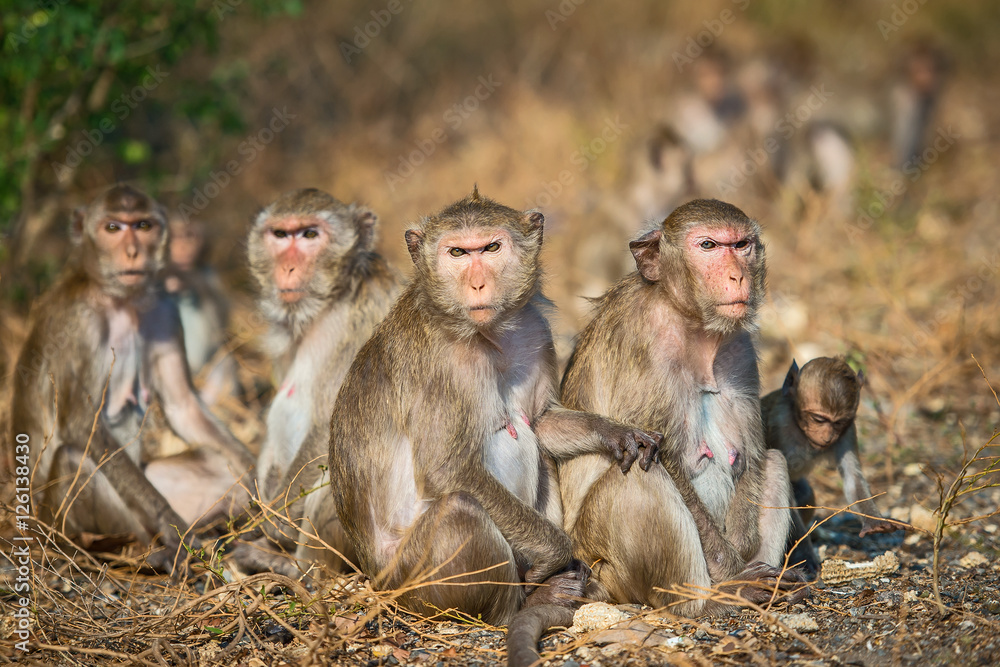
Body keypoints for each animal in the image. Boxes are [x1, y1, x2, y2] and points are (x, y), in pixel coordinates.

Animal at [162, 214, 240, 406]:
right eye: (177, 236)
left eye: (190, 236)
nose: (183, 246)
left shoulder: (210, 273)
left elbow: (219, 317)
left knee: (224, 360)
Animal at [236, 188, 401, 575]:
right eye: (281, 235)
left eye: (310, 235)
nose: (288, 268)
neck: (330, 304)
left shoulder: (365, 319)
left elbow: (333, 420)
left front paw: (276, 522)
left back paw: (297, 567)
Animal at [327, 189, 660, 658]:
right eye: (457, 253)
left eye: (490, 248)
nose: (477, 284)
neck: (486, 334)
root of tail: (374, 580)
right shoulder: (441, 365)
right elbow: (447, 470)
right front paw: (554, 555)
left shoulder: (534, 331)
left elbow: (541, 423)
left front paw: (616, 433)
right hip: (415, 585)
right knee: (461, 511)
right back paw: (526, 601)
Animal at [559, 199, 807, 615]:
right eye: (708, 245)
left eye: (741, 244)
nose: (737, 277)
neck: (690, 320)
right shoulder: (641, 341)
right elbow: (665, 458)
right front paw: (732, 572)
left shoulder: (739, 346)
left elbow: (753, 455)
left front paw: (743, 548)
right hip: (605, 565)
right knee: (641, 470)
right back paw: (710, 601)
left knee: (774, 461)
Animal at [762, 357, 900, 576]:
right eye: (818, 419)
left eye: (839, 422)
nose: (827, 437)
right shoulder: (778, 425)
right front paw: (805, 554)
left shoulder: (848, 429)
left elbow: (852, 477)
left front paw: (874, 521)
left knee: (807, 494)